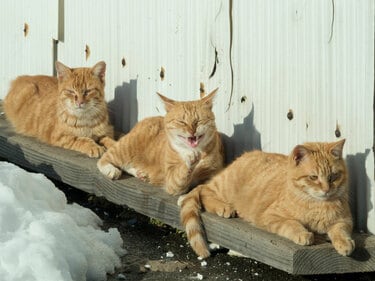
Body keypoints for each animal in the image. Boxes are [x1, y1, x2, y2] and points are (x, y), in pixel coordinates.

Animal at [179, 139, 356, 258]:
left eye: (334, 176)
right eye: (313, 177)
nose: (326, 189)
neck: (317, 204)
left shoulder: (345, 220)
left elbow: (340, 230)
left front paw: (345, 243)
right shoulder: (271, 216)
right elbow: (291, 223)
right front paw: (303, 234)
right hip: (223, 187)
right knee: (205, 191)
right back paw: (224, 207)